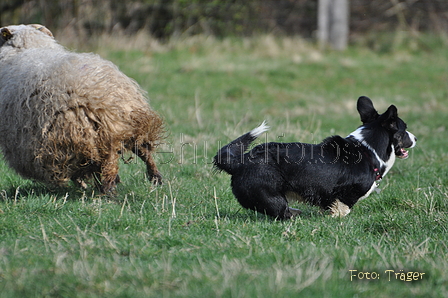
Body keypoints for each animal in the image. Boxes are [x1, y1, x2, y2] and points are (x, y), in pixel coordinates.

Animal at [0, 23, 164, 193]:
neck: (28, 47)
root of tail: (102, 104)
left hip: (77, 138)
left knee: (107, 163)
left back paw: (108, 191)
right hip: (127, 124)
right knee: (142, 151)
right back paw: (155, 178)